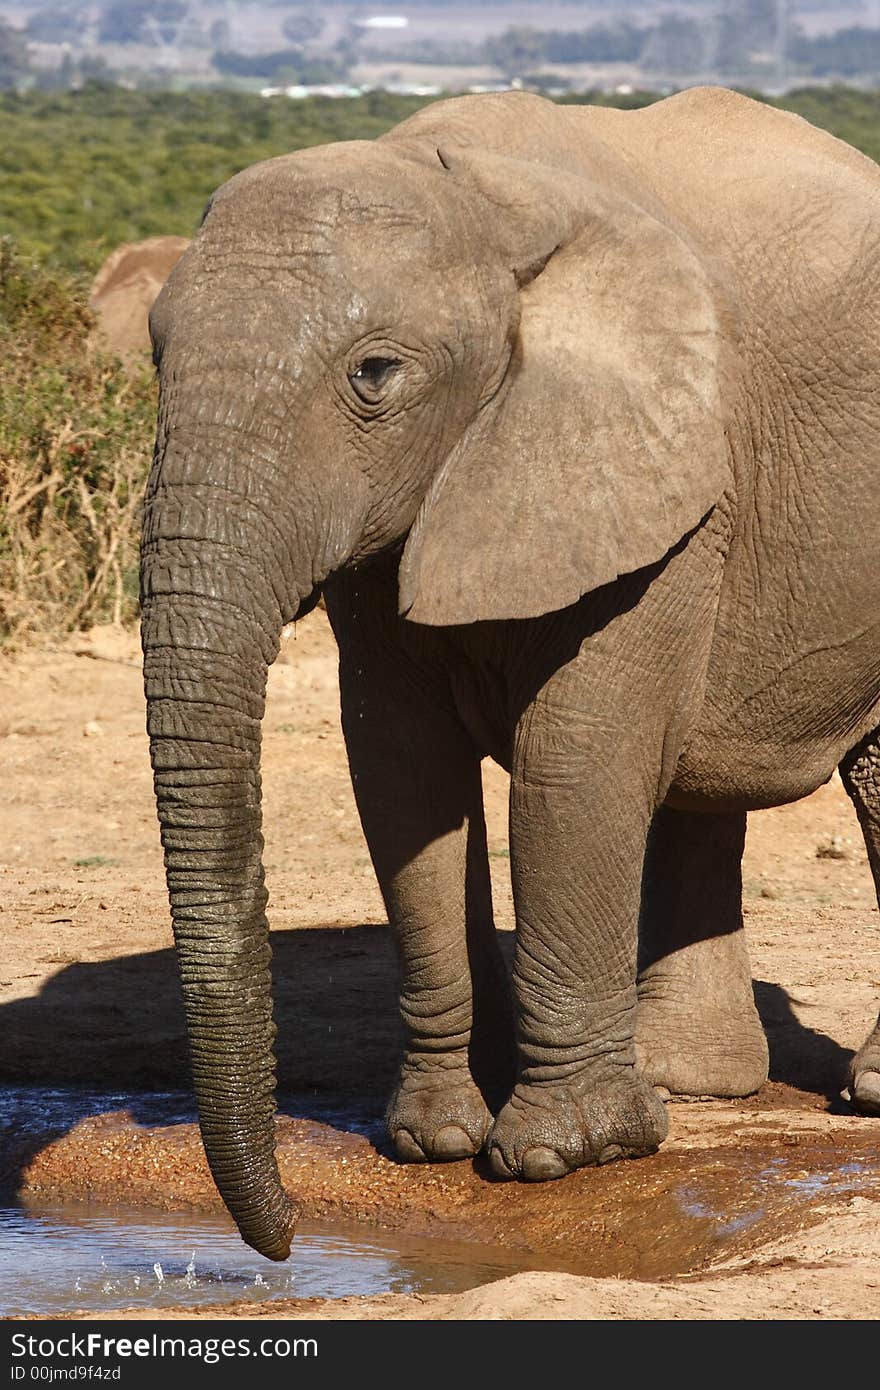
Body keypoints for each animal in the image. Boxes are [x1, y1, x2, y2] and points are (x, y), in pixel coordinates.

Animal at [140, 84, 878, 1262]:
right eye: (156, 356)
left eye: (375, 375)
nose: (283, 1237)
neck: (477, 202)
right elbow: (402, 773)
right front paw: (433, 1140)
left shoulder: (656, 465)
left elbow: (577, 759)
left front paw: (560, 1156)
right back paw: (692, 1085)